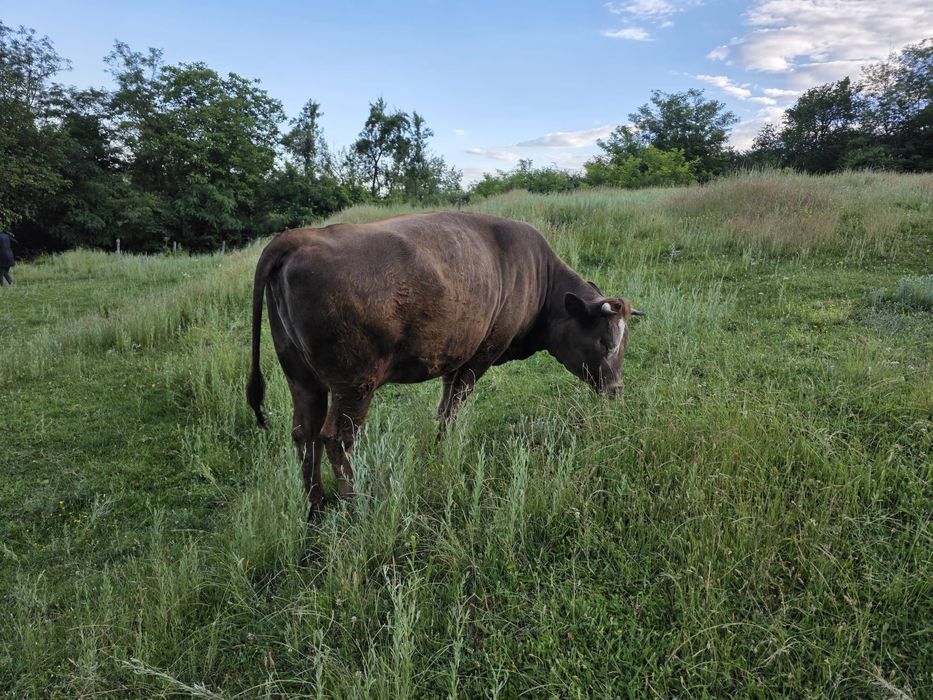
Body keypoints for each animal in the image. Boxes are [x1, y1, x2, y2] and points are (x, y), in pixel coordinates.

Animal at [246, 211, 642, 518]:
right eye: (605, 342)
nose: (616, 390)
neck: (538, 274)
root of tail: (298, 238)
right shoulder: (479, 356)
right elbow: (453, 406)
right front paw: (446, 449)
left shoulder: (456, 358)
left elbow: (445, 407)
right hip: (354, 385)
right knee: (336, 438)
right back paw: (355, 506)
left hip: (303, 379)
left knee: (305, 434)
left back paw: (315, 509)